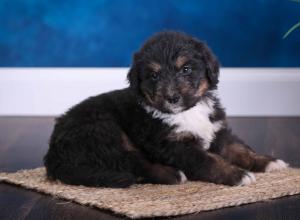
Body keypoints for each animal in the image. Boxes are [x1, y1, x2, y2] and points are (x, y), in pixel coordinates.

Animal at [44, 31, 288, 187]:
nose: (172, 98)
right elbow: (208, 160)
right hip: (104, 132)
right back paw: (172, 175)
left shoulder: (218, 131)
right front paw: (236, 175)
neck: (187, 112)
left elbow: (240, 149)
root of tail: (53, 153)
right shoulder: (172, 144)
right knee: (133, 163)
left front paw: (269, 162)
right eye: (154, 75)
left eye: (186, 69)